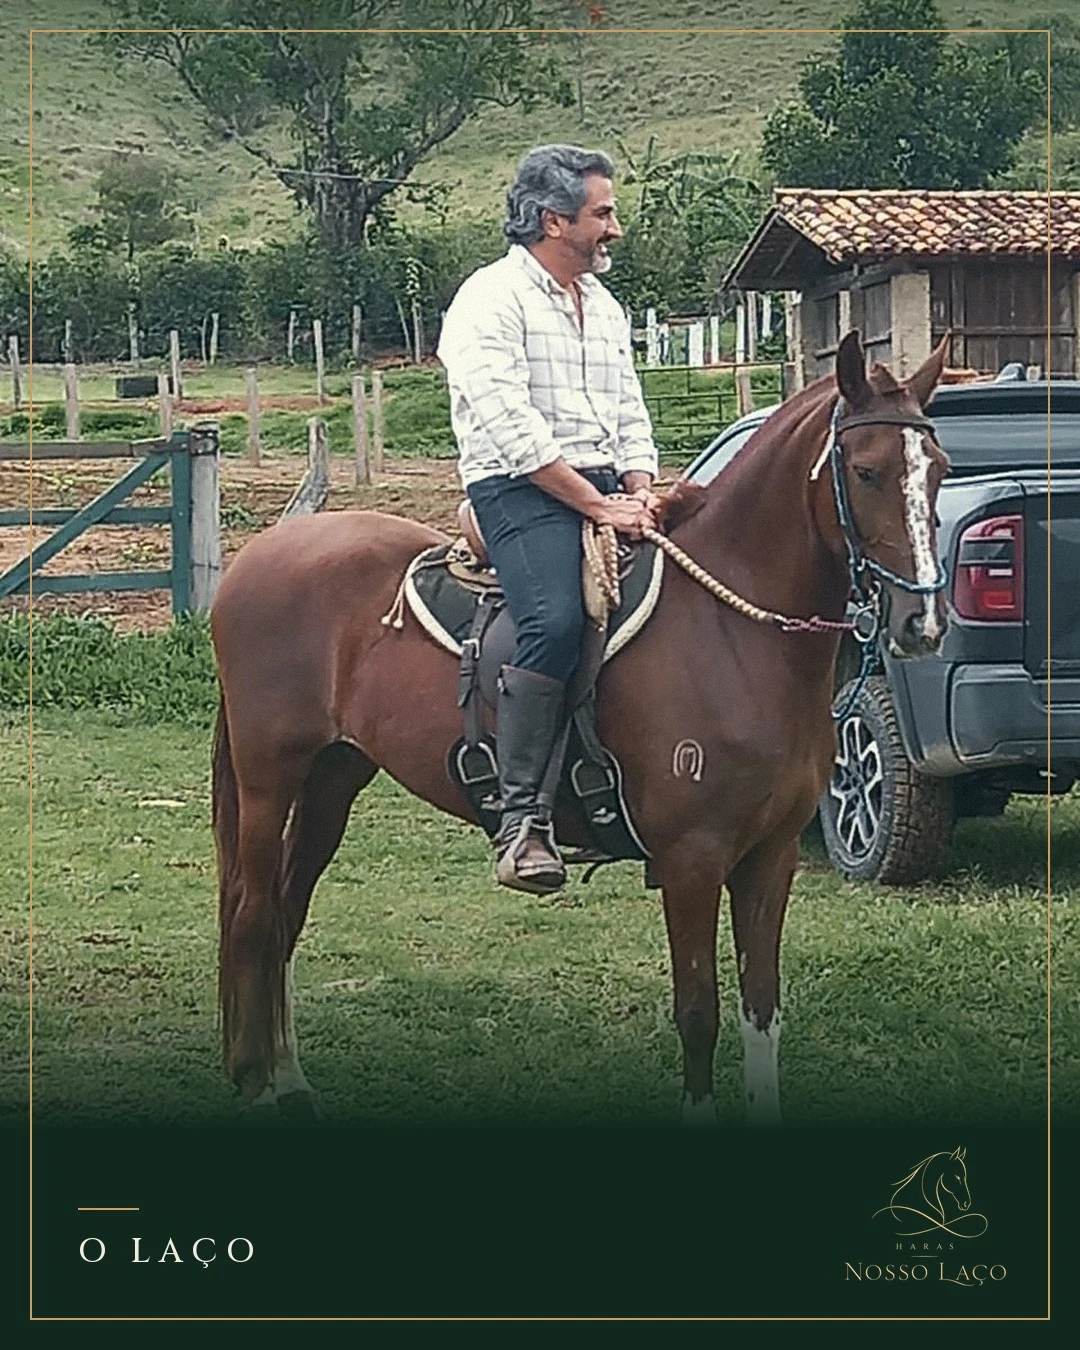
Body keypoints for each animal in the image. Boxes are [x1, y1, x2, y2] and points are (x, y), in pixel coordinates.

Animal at [210, 329, 950, 1126]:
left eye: (939, 470)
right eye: (867, 471)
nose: (923, 623)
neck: (729, 633)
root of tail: (262, 554)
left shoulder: (769, 859)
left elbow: (762, 1010)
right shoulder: (692, 861)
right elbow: (699, 1014)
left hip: (333, 778)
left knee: (287, 911)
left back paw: (289, 1079)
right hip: (270, 779)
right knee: (254, 915)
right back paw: (253, 1081)